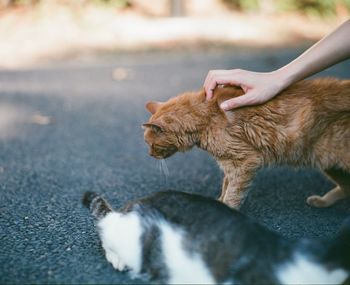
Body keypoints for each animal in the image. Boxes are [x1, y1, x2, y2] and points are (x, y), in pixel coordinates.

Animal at [143, 79, 350, 207]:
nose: (150, 155)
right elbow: (226, 187)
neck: (205, 119)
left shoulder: (245, 162)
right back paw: (322, 202)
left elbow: (233, 193)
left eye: (151, 145)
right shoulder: (229, 164)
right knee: (346, 189)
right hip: (330, 164)